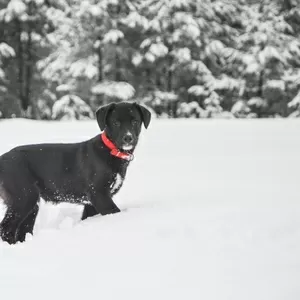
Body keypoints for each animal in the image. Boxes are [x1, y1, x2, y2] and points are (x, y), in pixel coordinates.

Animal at [0, 102, 150, 244]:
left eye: (135, 121)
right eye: (116, 122)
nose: (128, 138)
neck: (111, 151)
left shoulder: (91, 204)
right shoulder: (99, 195)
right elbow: (114, 211)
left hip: (30, 205)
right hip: (23, 197)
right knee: (6, 228)